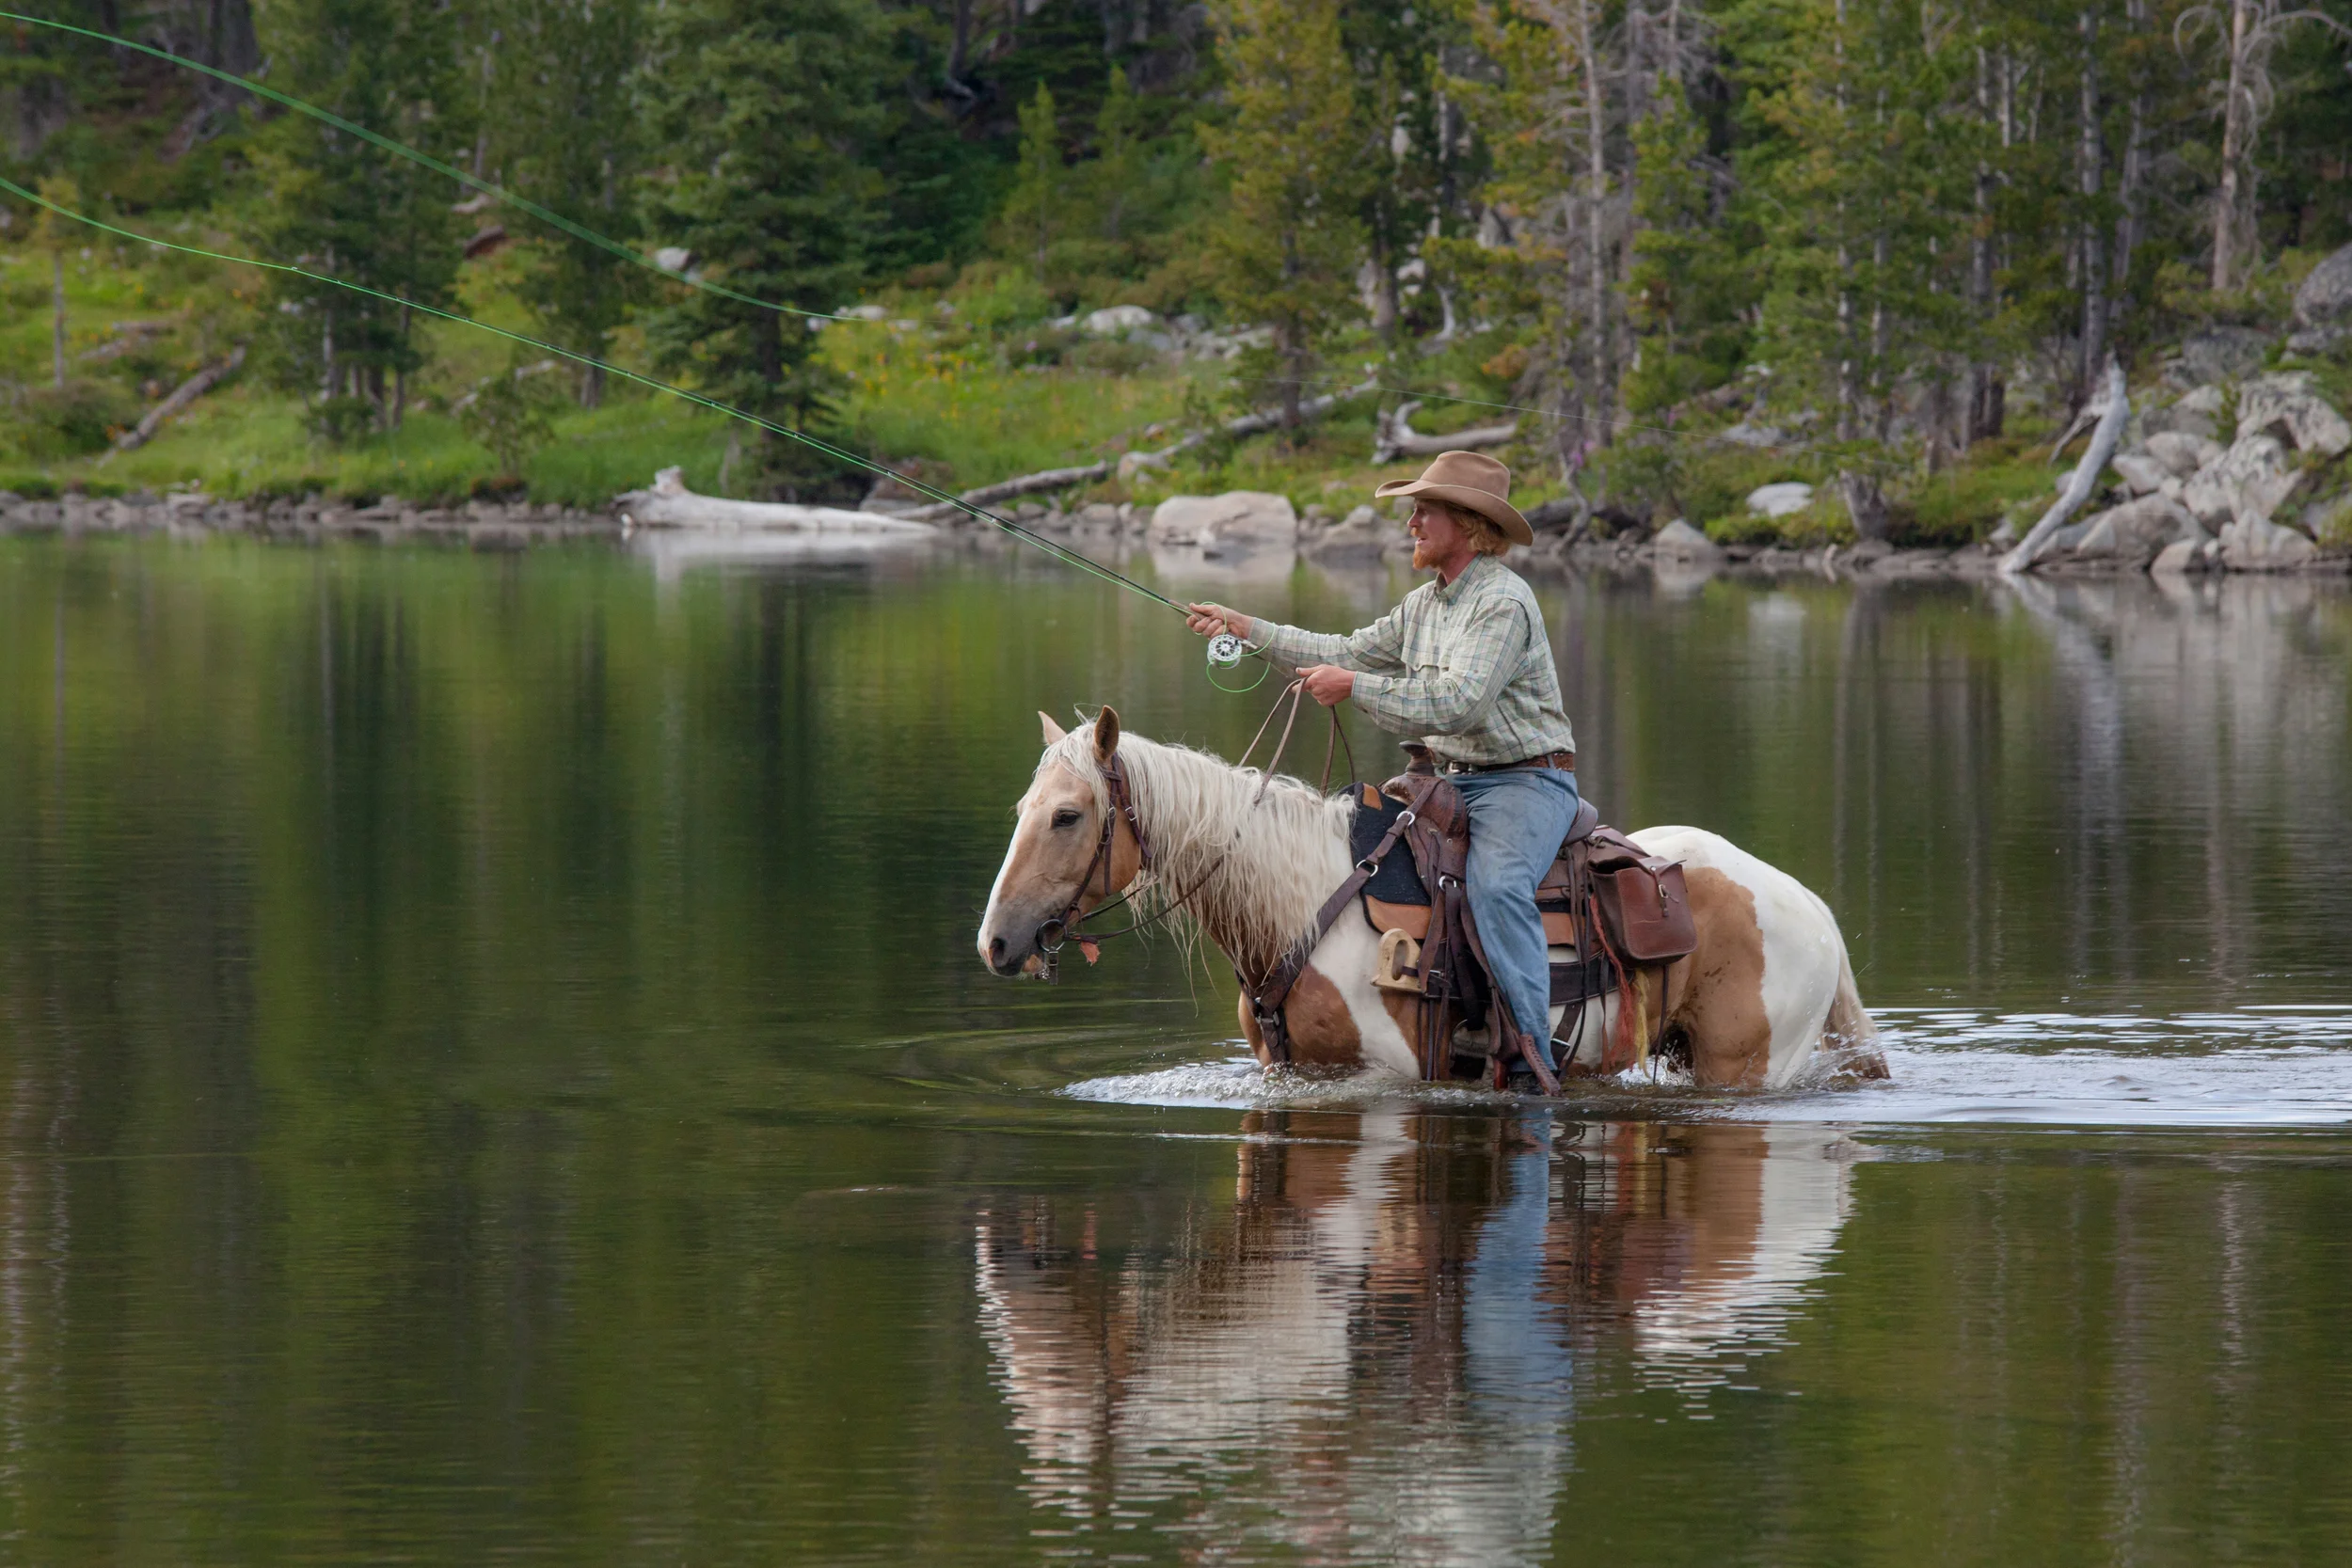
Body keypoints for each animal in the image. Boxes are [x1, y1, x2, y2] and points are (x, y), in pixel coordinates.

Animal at [978, 708, 1888, 1089]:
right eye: (1021, 808)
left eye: (1068, 815)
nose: (995, 942)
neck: (1303, 903)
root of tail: (1818, 912)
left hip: (1748, 1065)